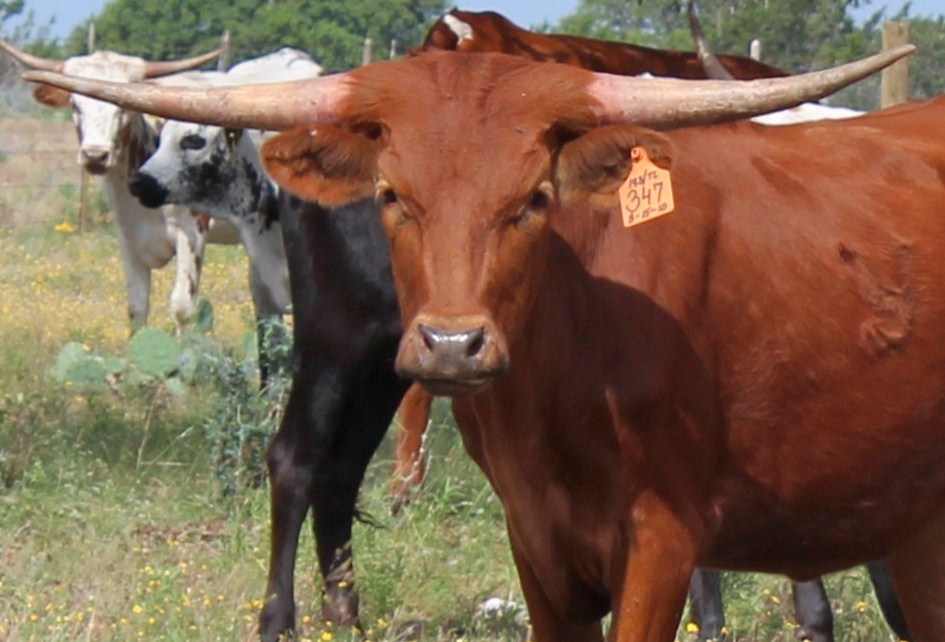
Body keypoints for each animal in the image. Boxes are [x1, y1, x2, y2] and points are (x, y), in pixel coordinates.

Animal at [0, 42, 231, 332]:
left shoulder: (192, 233)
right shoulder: (128, 236)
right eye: (75, 105)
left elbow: (181, 309)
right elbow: (137, 307)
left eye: (123, 106)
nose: (95, 155)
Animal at [29, 44, 934, 642]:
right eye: (392, 194)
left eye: (533, 197)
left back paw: (343, 613)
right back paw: (283, 619)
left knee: (336, 470)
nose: (454, 343)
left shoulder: (662, 534)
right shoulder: (543, 541)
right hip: (343, 343)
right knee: (295, 459)